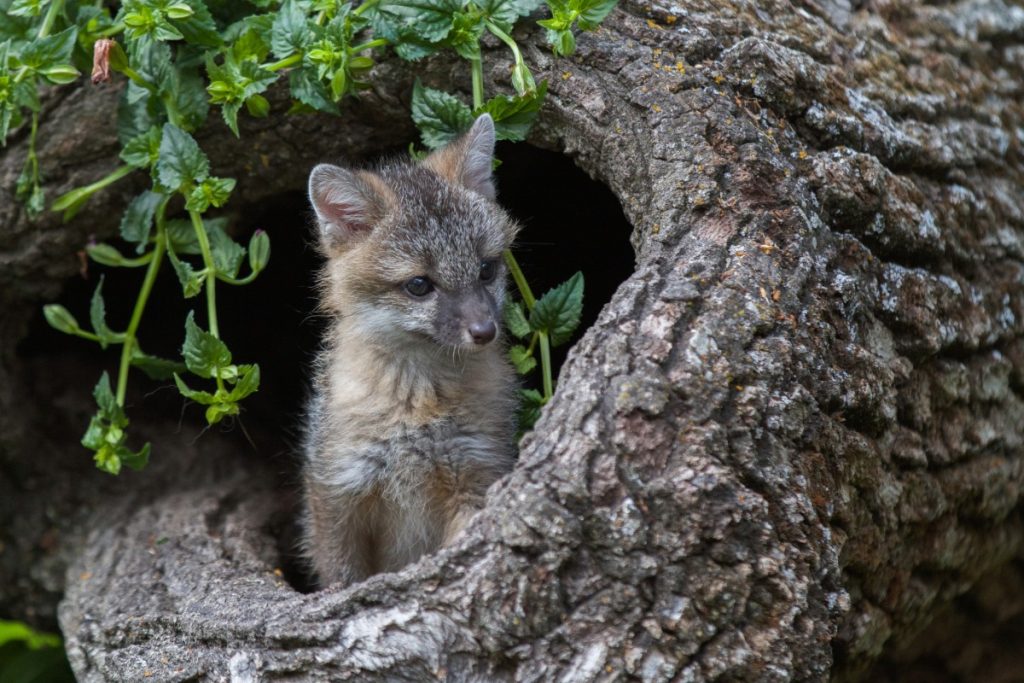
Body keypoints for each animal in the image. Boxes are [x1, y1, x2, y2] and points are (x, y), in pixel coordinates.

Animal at [301, 114, 519, 588]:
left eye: (486, 269)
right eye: (419, 285)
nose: (485, 330)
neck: (418, 407)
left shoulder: (476, 473)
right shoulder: (339, 489)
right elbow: (341, 576)